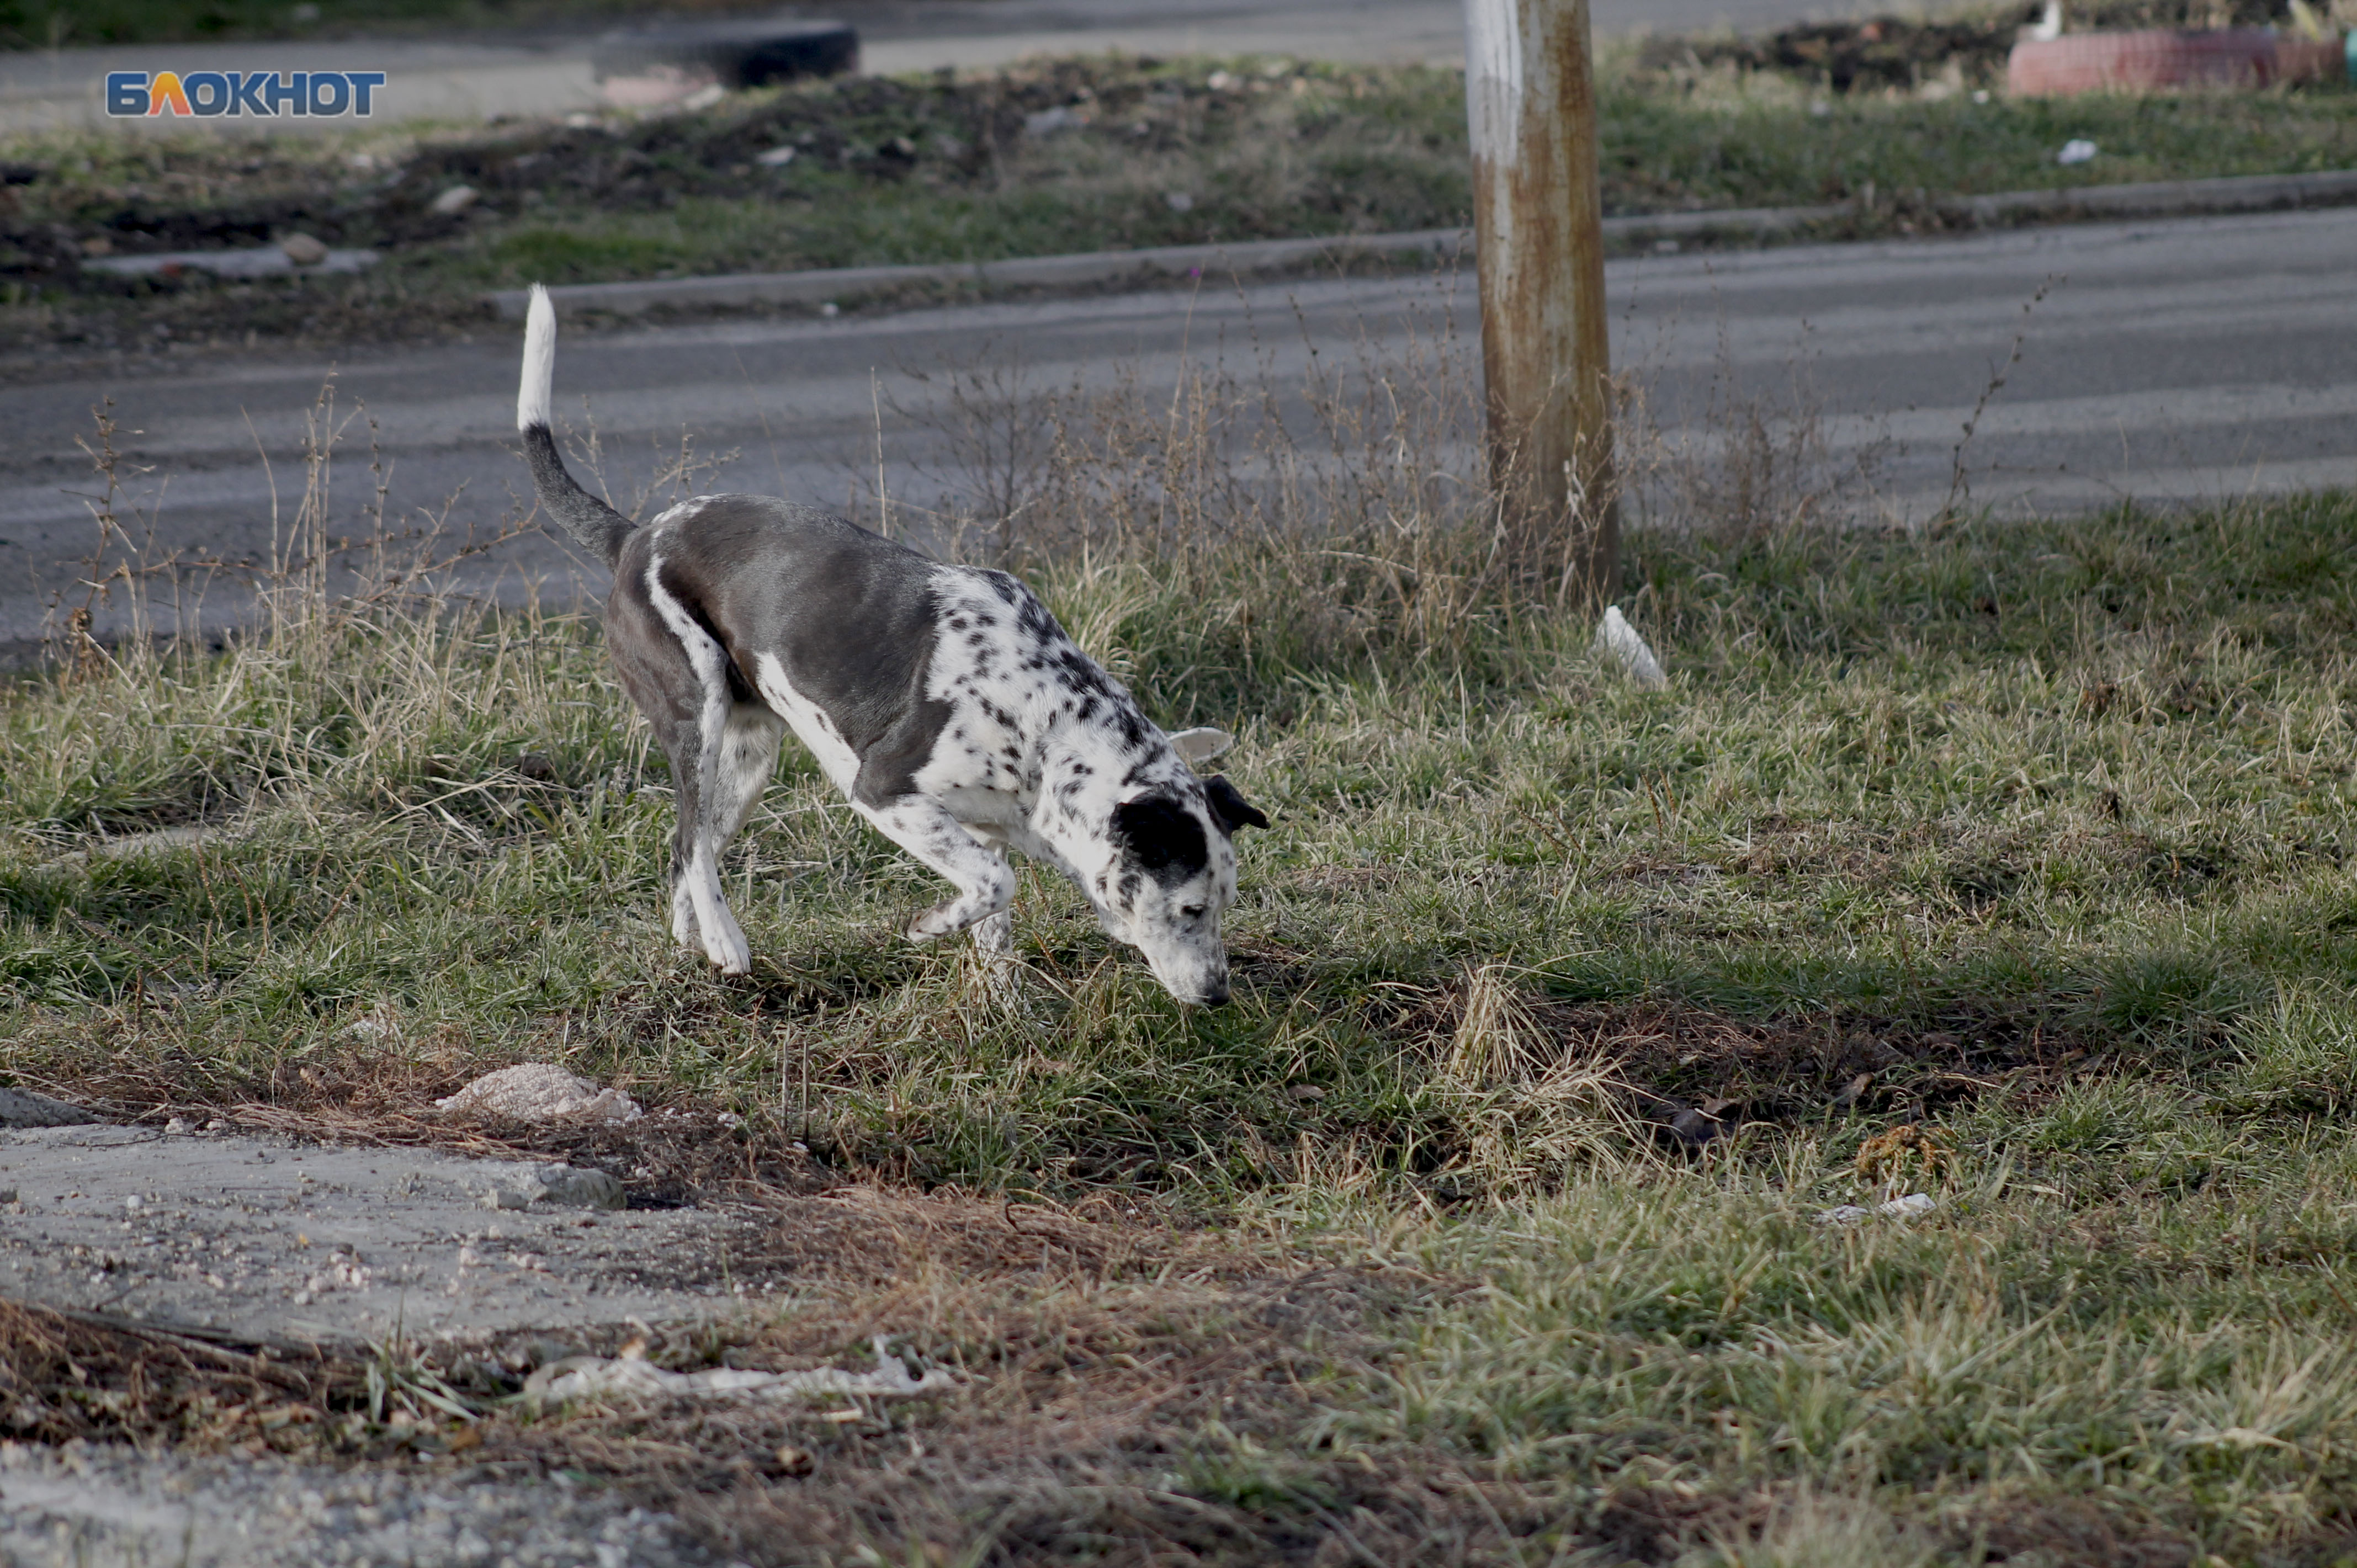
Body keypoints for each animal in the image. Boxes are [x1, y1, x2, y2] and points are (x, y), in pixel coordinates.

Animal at [516, 284, 1272, 1004]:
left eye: (1227, 904)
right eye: (1190, 908)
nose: (1217, 997)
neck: (1043, 722)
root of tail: (634, 537)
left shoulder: (986, 823)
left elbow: (996, 920)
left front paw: (1006, 1005)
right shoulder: (883, 791)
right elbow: (995, 884)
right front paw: (929, 927)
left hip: (748, 756)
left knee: (685, 850)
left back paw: (690, 948)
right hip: (694, 717)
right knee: (690, 841)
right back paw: (727, 945)